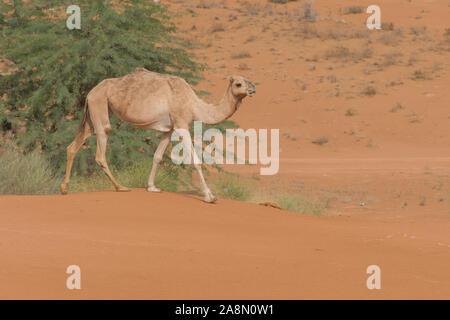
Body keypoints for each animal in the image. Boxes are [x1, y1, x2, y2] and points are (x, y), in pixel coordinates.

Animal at [60, 68, 256, 202]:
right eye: (238, 84)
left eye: (248, 79)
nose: (253, 88)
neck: (194, 105)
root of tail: (90, 92)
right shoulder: (181, 123)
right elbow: (195, 160)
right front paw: (210, 196)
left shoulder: (169, 129)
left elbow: (157, 156)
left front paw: (152, 187)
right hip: (100, 105)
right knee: (101, 148)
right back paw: (120, 187)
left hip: (93, 113)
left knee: (73, 146)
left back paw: (64, 188)